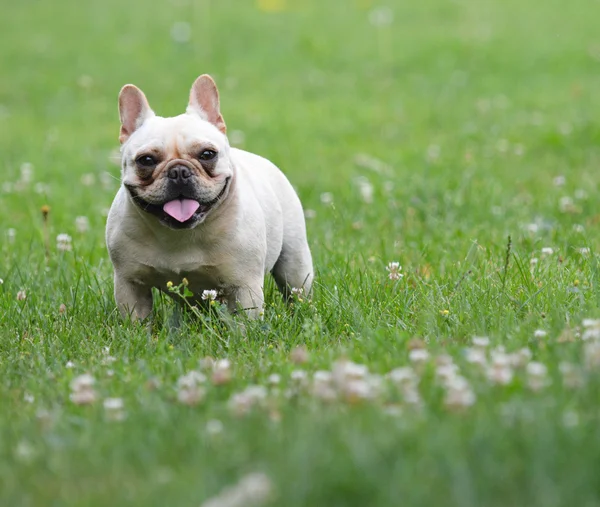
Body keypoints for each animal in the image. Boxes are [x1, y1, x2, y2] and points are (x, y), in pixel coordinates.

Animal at [106, 74, 314, 322]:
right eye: (146, 160)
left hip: (295, 262)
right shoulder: (130, 284)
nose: (178, 171)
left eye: (207, 154)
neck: (179, 235)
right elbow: (136, 321)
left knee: (295, 289)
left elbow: (246, 323)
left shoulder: (244, 287)